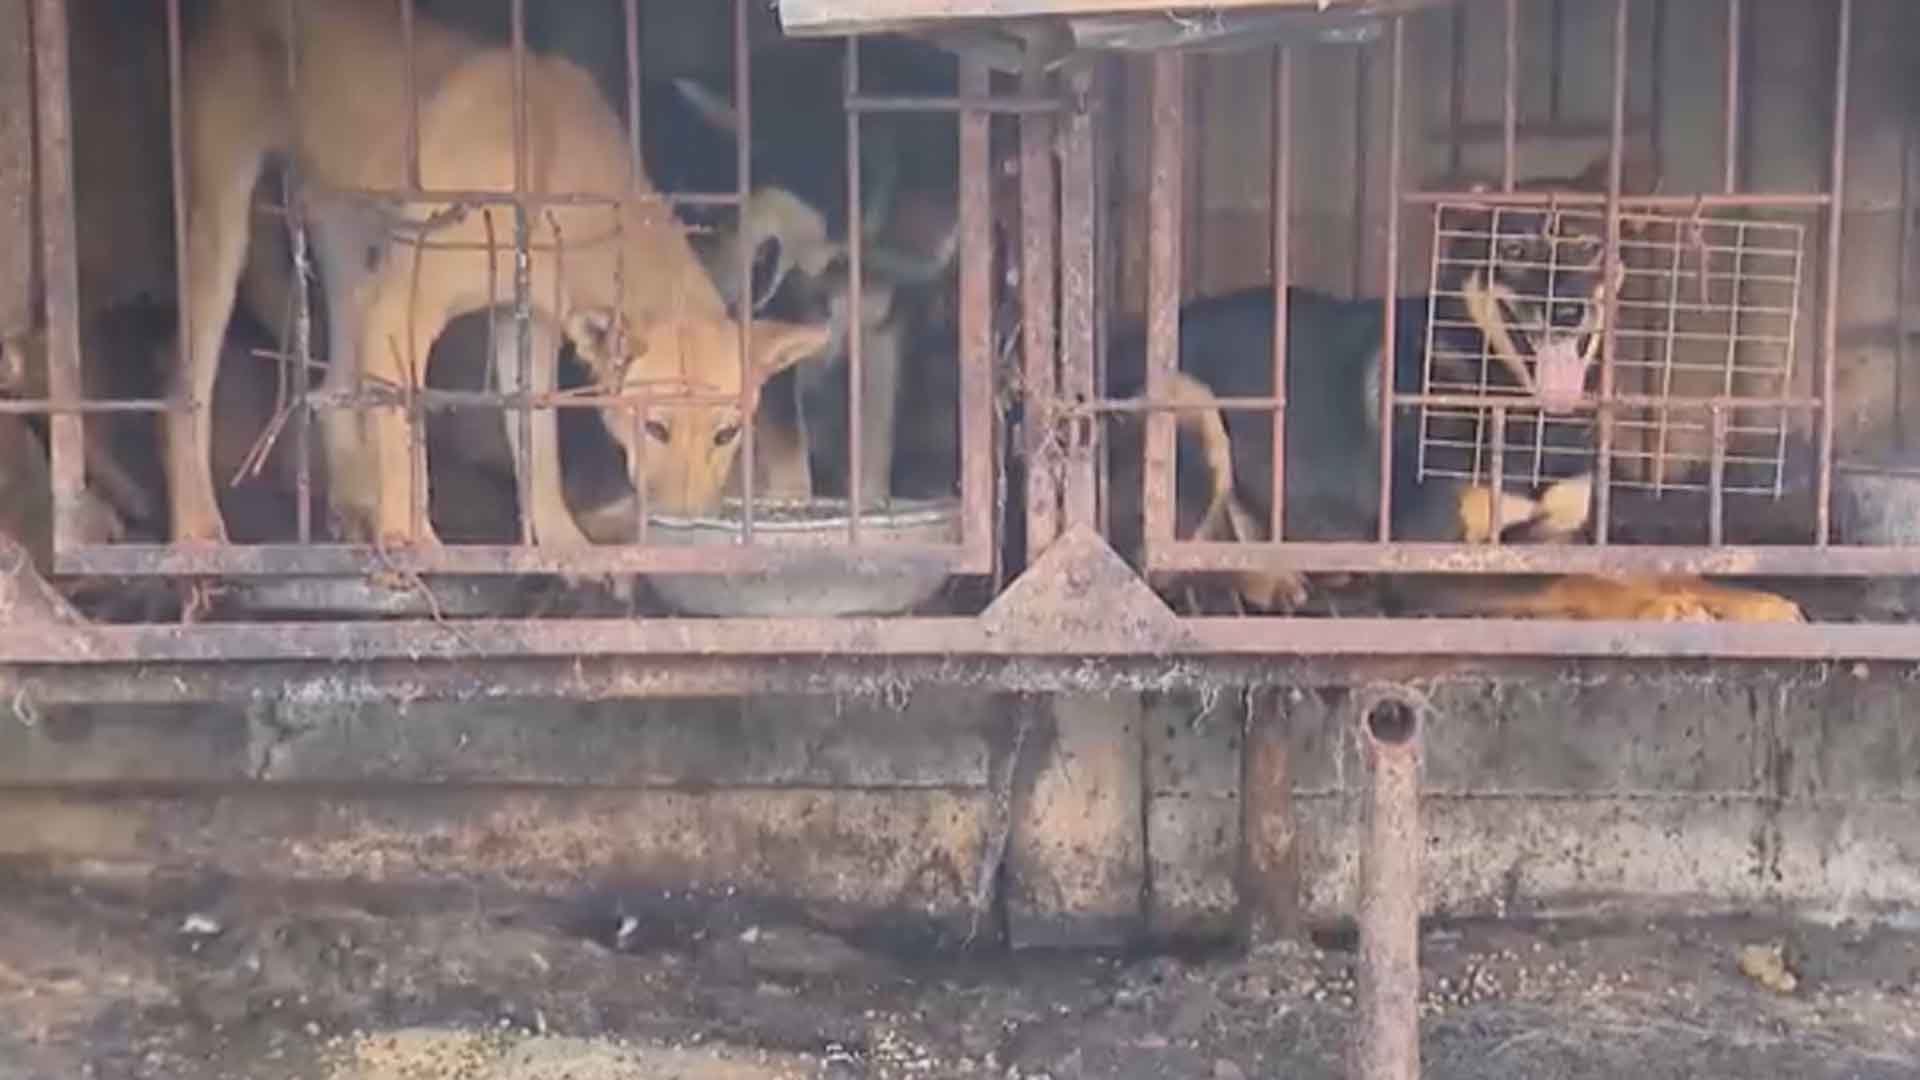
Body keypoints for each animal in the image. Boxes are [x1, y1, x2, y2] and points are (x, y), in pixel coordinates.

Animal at [180, 0, 833, 541]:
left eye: (726, 435)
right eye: (655, 429)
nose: (686, 522)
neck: (547, 162)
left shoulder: (528, 327)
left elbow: (537, 446)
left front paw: (564, 547)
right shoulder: (403, 307)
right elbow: (406, 430)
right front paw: (413, 541)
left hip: (351, 245)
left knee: (332, 384)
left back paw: (353, 505)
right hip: (224, 228)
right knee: (187, 391)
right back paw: (197, 529)